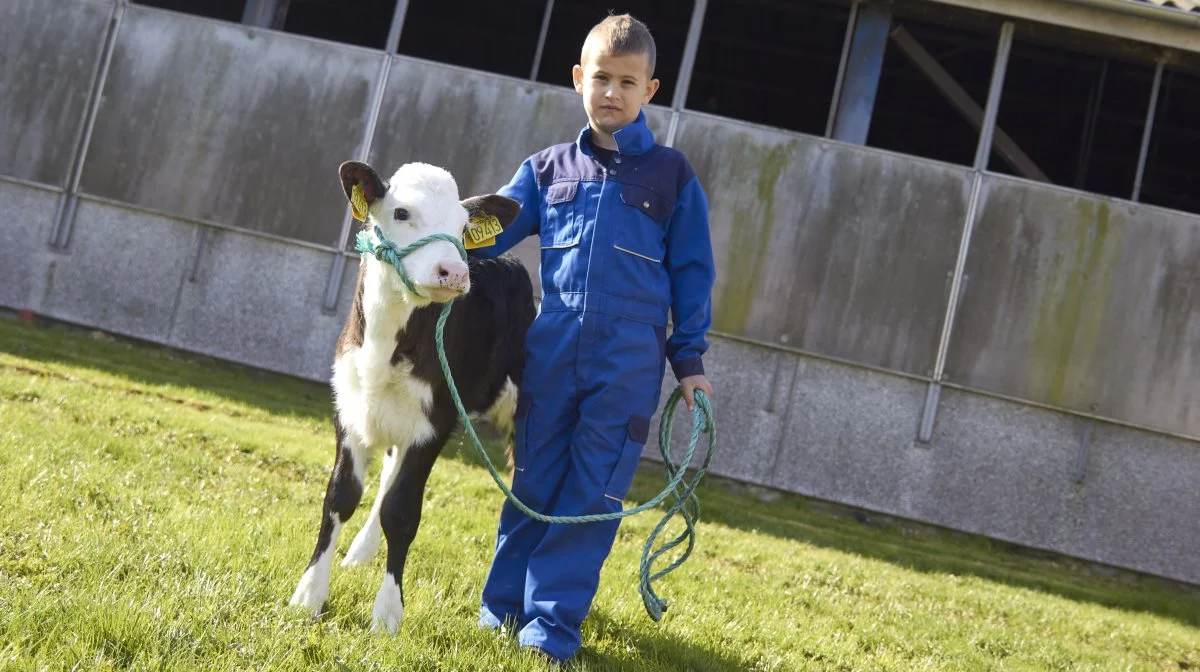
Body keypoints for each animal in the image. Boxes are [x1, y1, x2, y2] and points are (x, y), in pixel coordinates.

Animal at [288, 159, 532, 633]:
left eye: (462, 228)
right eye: (401, 213)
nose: (454, 273)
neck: (383, 349)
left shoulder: (433, 425)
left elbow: (401, 513)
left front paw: (386, 615)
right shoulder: (350, 410)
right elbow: (340, 497)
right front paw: (309, 595)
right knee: (386, 474)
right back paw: (360, 552)